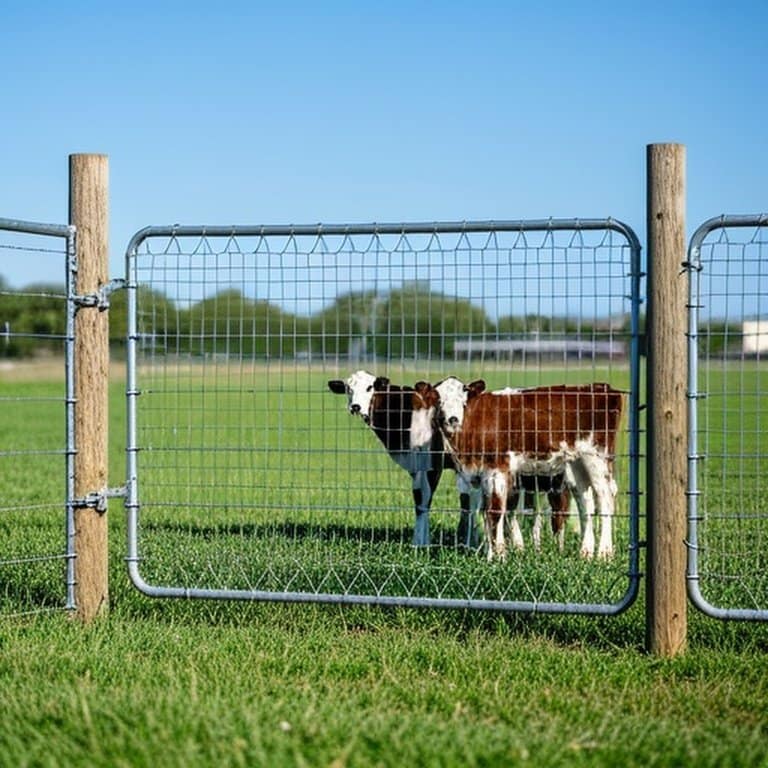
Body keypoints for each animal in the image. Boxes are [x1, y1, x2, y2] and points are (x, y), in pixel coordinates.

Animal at [327, 371, 479, 548]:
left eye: (369, 387)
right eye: (348, 388)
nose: (355, 406)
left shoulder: (430, 463)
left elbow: (422, 500)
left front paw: (419, 543)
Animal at [415, 377, 624, 561]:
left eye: (463, 397)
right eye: (438, 398)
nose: (453, 419)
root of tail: (602, 388)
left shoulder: (498, 469)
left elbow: (495, 512)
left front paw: (499, 557)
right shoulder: (482, 475)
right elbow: (487, 513)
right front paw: (492, 555)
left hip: (597, 457)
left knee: (605, 498)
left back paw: (604, 554)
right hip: (576, 464)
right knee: (585, 502)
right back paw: (586, 553)